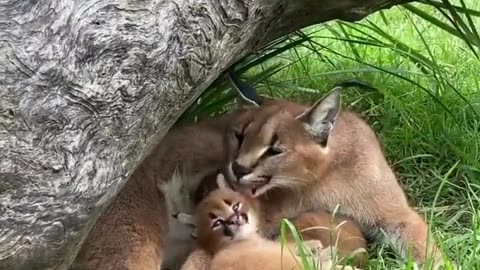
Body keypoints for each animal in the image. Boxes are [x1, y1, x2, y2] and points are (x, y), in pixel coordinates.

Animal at [225, 78, 446, 268]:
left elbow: (426, 251)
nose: (238, 168)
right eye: (240, 136)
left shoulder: (397, 214)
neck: (323, 179)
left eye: (275, 150)